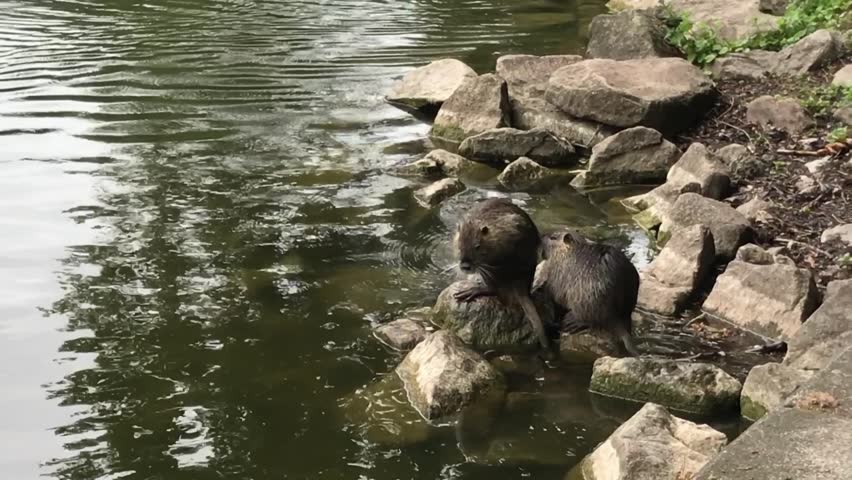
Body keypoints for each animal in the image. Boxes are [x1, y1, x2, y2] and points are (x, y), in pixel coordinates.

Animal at [453, 198, 551, 350]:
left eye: (477, 246)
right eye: (459, 246)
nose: (465, 266)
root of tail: (523, 288)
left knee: (493, 288)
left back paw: (471, 290)